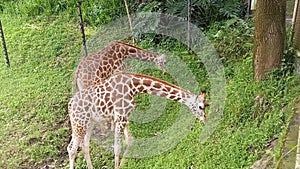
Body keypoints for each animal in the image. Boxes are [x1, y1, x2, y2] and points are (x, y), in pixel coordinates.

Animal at [67, 71, 209, 169]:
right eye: (201, 107)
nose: (204, 120)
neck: (133, 87)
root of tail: (70, 105)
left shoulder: (124, 116)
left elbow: (130, 140)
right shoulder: (121, 116)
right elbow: (117, 147)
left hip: (89, 123)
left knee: (84, 145)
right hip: (79, 123)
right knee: (72, 149)